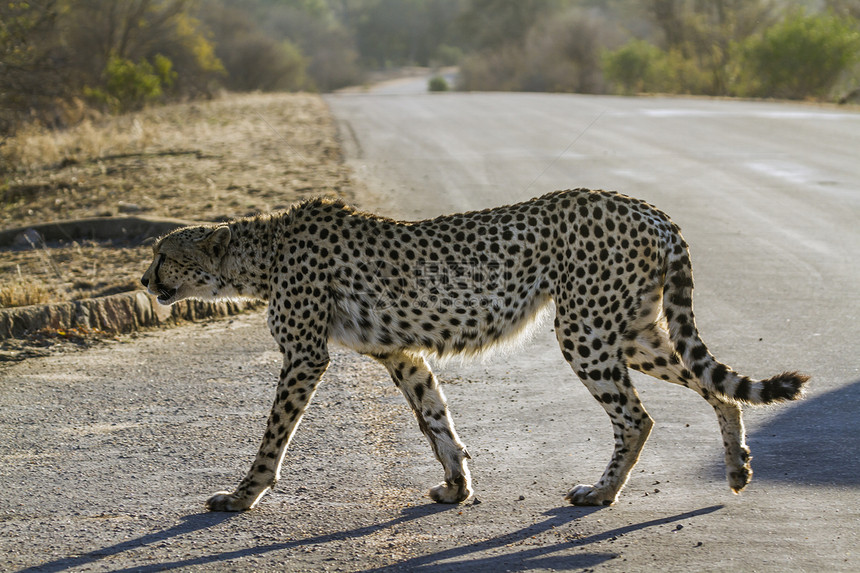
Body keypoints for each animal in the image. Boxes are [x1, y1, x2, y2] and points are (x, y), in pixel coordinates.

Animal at [139, 188, 808, 510]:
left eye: (165, 254)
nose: (144, 281)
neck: (262, 253)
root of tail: (644, 207)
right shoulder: (402, 354)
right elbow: (435, 418)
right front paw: (457, 486)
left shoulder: (305, 356)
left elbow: (273, 436)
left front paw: (242, 496)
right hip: (633, 331)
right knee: (717, 388)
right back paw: (737, 466)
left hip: (586, 330)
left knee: (636, 417)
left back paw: (601, 494)